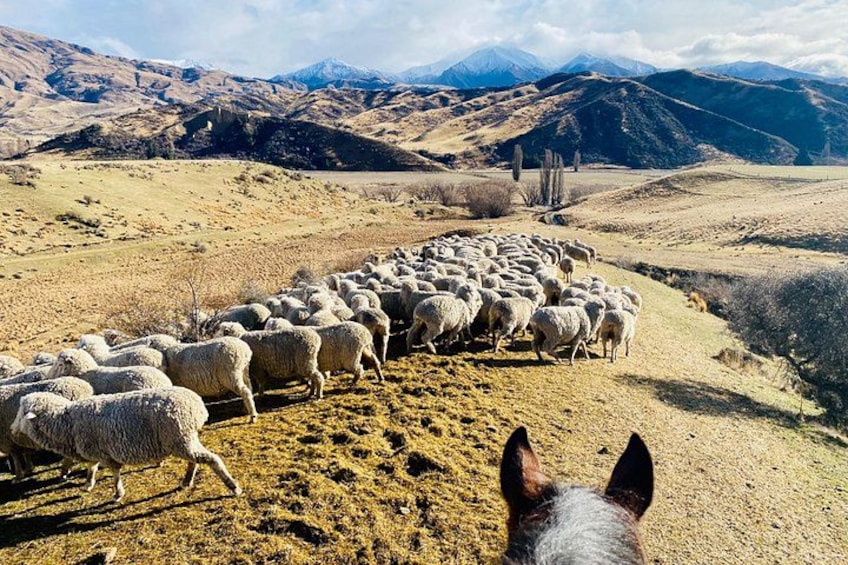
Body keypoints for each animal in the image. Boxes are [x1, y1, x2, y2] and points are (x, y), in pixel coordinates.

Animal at [11, 387, 241, 502]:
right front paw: (88, 484)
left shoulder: (104, 454)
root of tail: (197, 404)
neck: (66, 422)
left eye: (22, 412)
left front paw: (117, 494)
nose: (12, 431)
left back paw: (234, 486)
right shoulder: (95, 450)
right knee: (195, 461)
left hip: (180, 438)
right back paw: (186, 481)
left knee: (211, 459)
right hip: (183, 439)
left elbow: (114, 473)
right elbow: (91, 467)